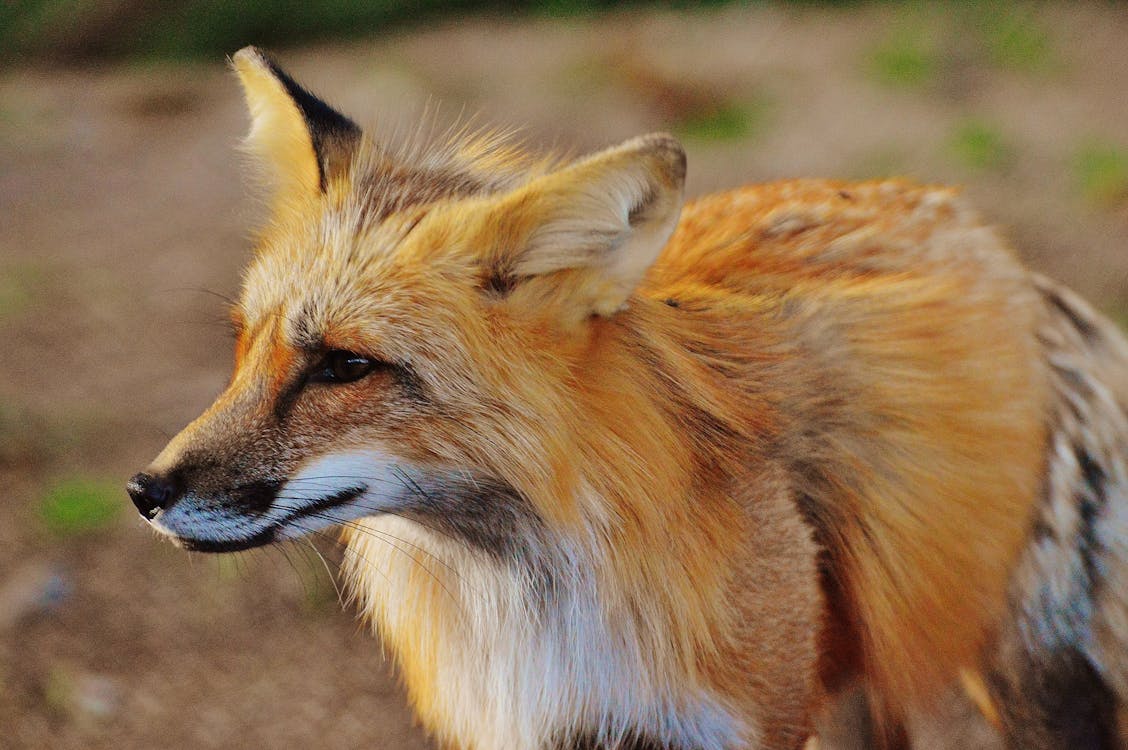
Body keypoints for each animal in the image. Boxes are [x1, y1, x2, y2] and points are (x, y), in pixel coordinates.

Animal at [125, 48, 1128, 748]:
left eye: (342, 366)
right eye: (242, 345)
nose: (143, 490)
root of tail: (999, 247)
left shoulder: (735, 725)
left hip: (1021, 678)